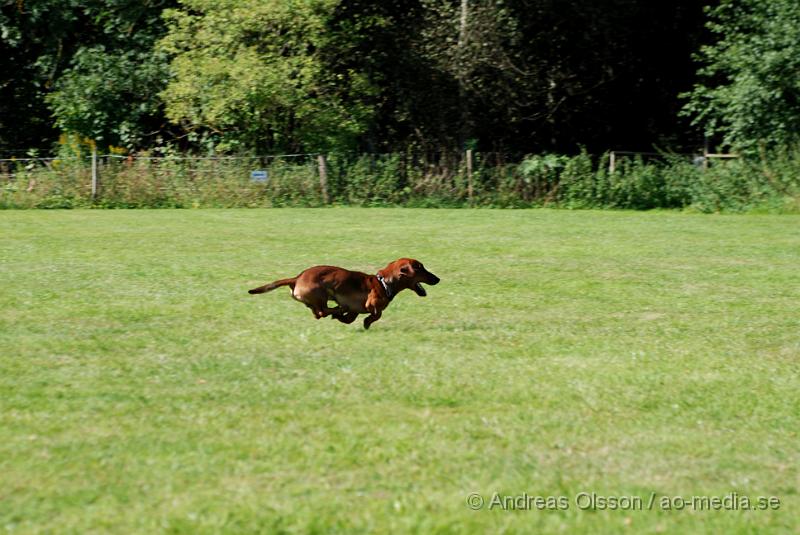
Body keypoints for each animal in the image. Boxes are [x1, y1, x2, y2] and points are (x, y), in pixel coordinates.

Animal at [248, 258, 440, 328]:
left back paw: (338, 311)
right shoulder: (372, 305)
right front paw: (366, 323)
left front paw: (346, 319)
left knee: (318, 313)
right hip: (321, 293)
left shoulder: (357, 309)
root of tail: (297, 278)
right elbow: (376, 314)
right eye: (420, 268)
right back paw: (338, 309)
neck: (383, 283)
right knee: (322, 311)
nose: (437, 279)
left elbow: (351, 318)